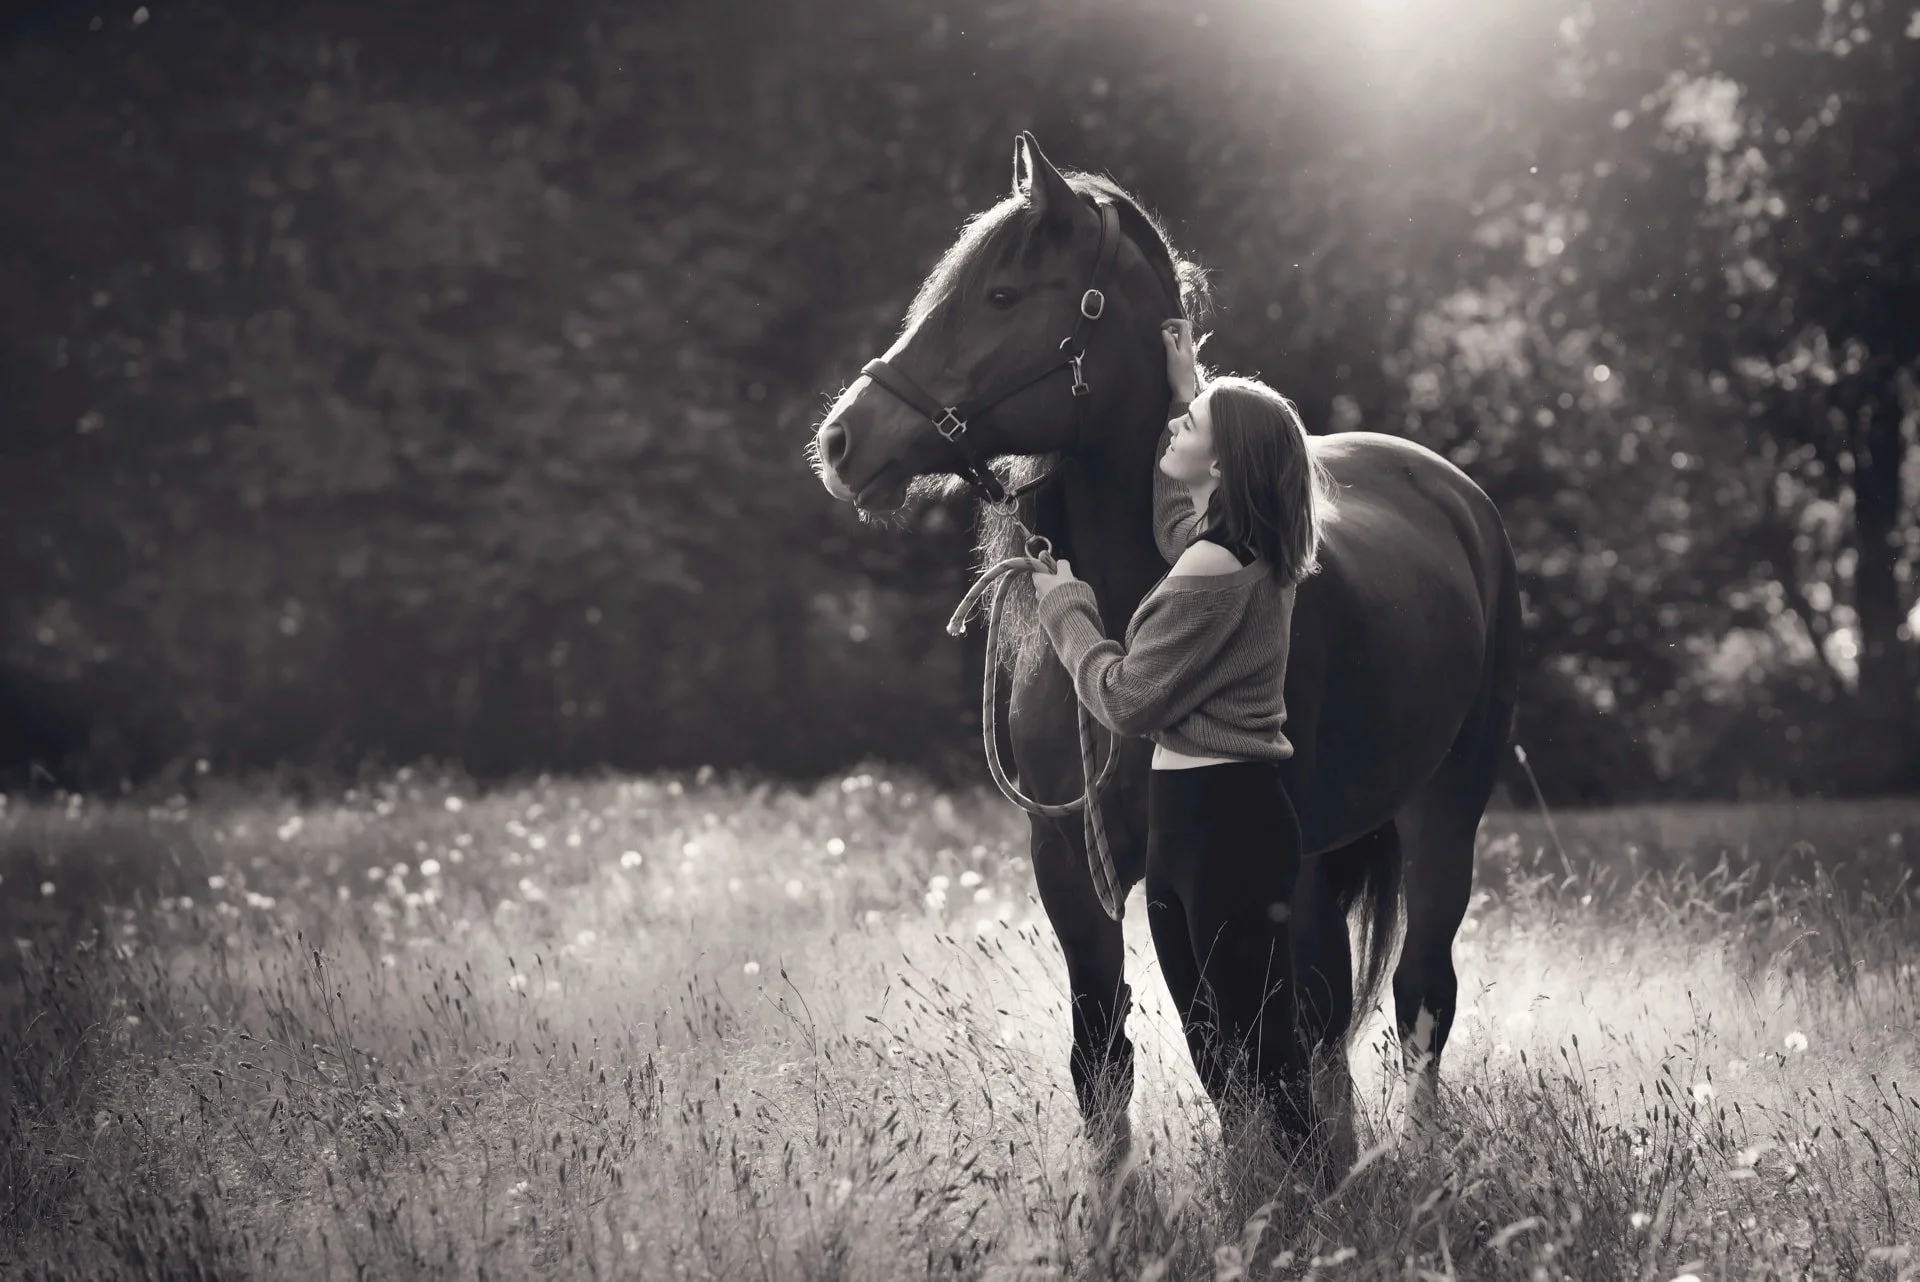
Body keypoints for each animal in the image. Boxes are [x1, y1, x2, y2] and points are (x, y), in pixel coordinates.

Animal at [811, 133, 1521, 1162]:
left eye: (999, 295)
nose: (842, 441)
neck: (1128, 605)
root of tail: (1455, 495)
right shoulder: (1072, 862)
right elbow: (1105, 1055)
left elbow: (1240, 1053)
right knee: (1324, 1018)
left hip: (1440, 815)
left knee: (1416, 1000)